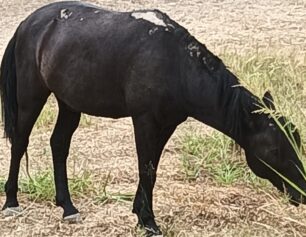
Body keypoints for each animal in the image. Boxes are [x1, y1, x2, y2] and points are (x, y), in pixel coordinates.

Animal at [0, 1, 306, 235]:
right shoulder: (145, 121)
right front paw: (148, 221)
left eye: (297, 141)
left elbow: (152, 169)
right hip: (31, 96)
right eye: (274, 149)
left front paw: (140, 213)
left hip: (69, 102)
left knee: (59, 144)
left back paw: (68, 207)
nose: (302, 191)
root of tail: (29, 23)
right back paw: (12, 202)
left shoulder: (166, 124)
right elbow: (146, 168)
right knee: (20, 141)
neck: (176, 64)